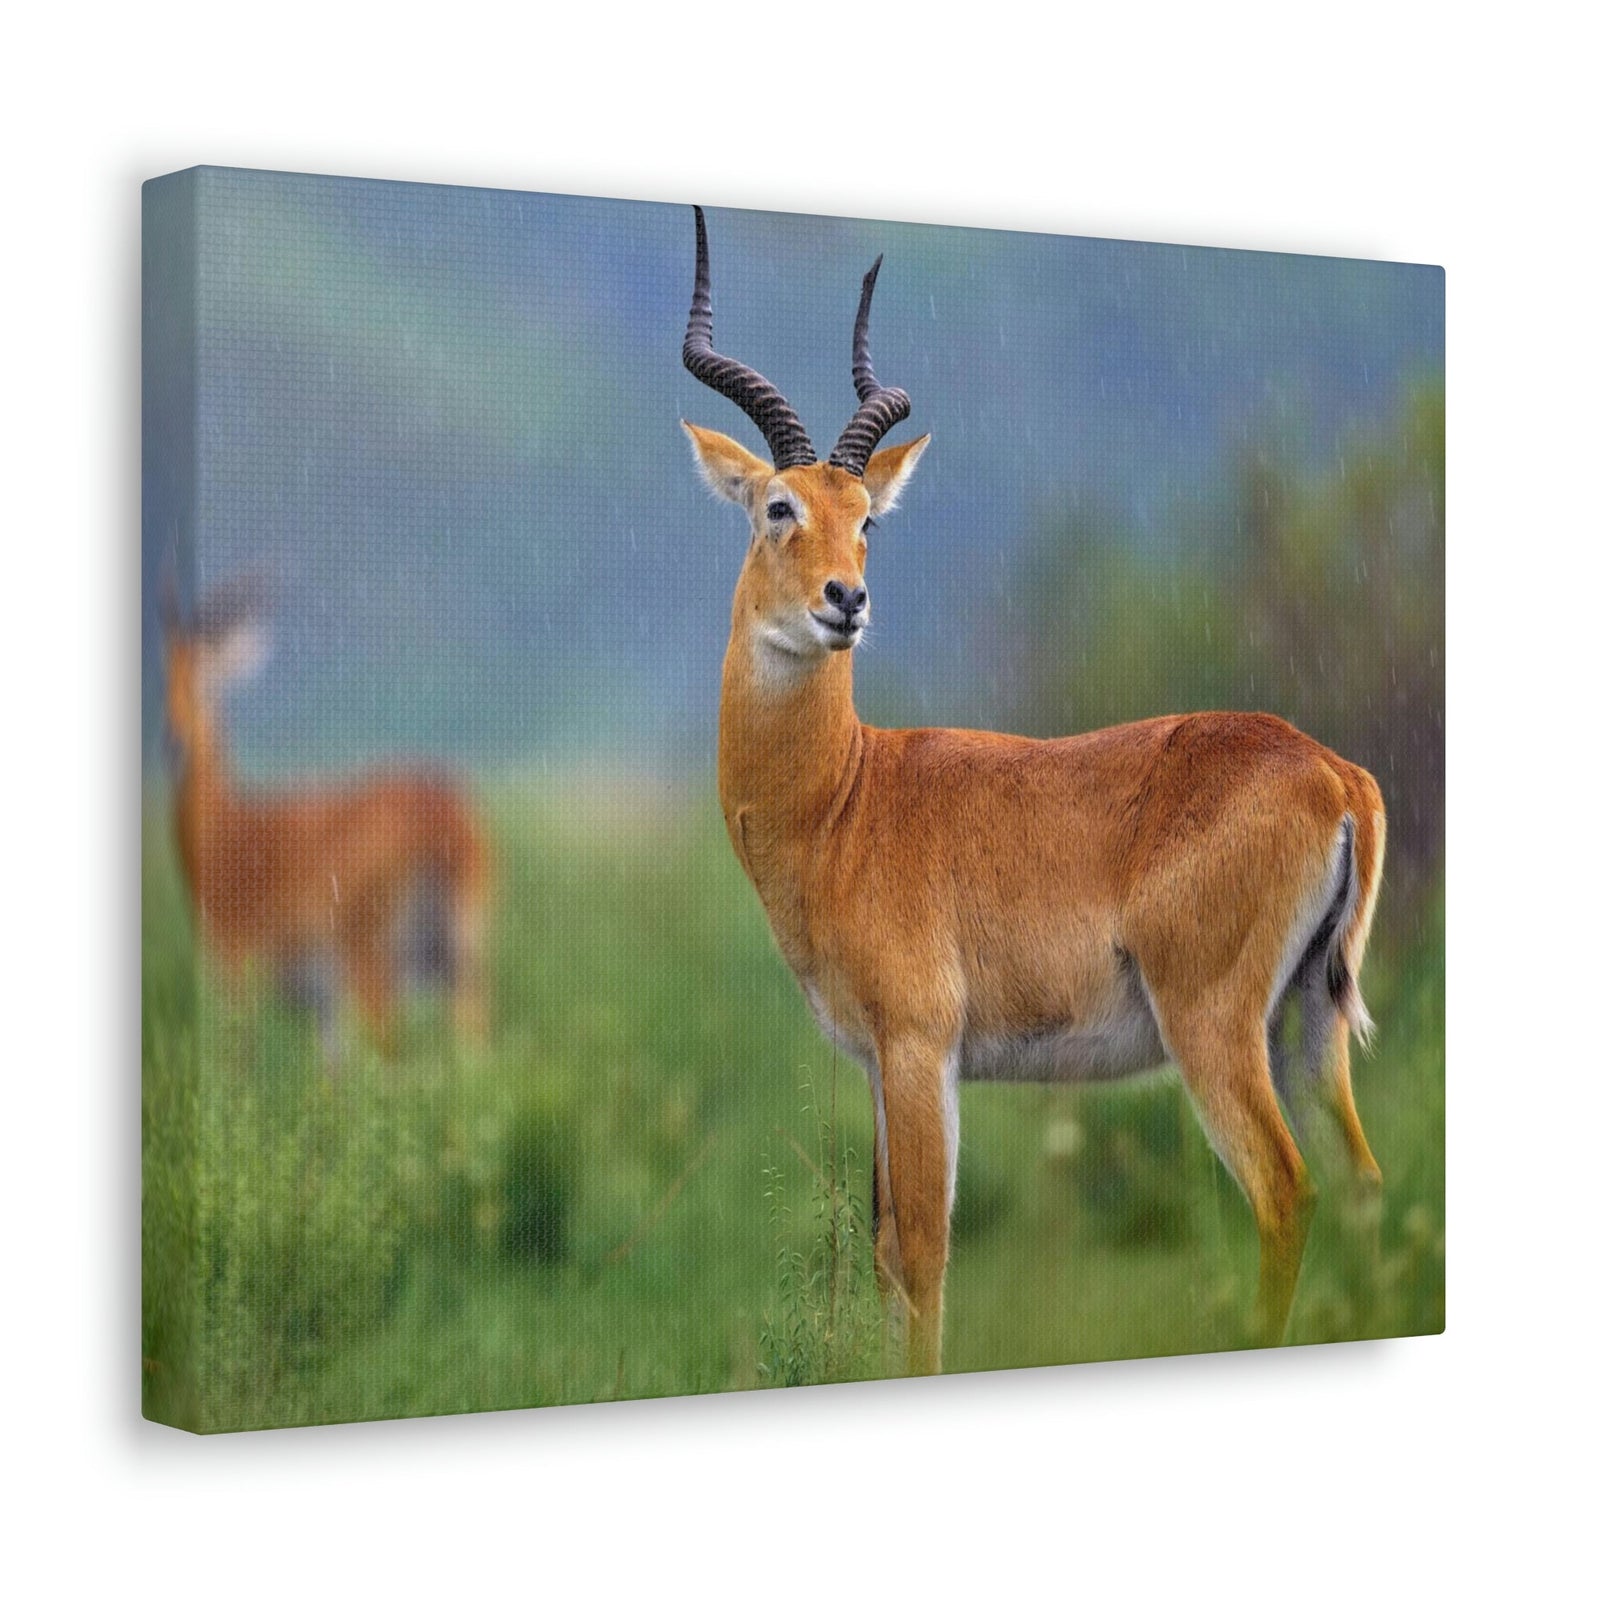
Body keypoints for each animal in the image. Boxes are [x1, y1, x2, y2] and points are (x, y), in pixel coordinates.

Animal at [162, 577, 491, 1061]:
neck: (229, 831)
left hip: (372, 960)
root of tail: (443, 815)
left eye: (206, 679)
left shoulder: (237, 968)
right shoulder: (321, 1006)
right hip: (458, 956)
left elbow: (239, 1058)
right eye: (163, 675)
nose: (172, 737)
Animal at [681, 206, 1386, 1375]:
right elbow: (886, 1248)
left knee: (1288, 1192)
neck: (844, 801)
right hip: (1309, 1020)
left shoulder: (921, 1047)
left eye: (866, 517)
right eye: (779, 506)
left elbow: (923, 1253)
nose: (845, 600)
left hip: (1214, 1025)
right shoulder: (876, 1062)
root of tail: (1334, 772)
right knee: (1367, 1186)